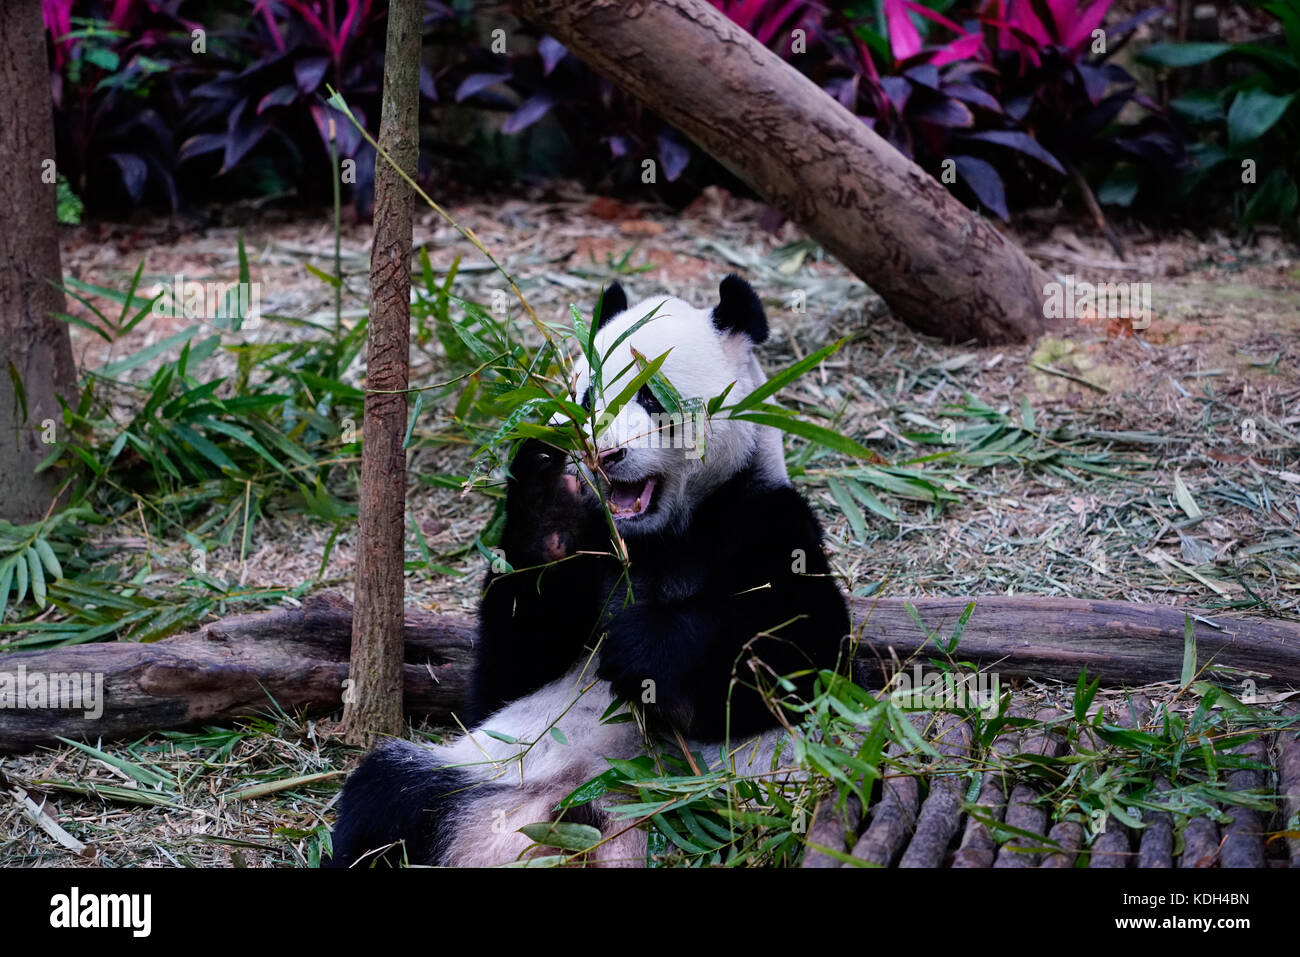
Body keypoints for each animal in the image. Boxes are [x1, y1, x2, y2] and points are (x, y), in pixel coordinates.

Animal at [330, 274, 847, 868]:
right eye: (584, 398)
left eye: (652, 396)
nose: (604, 453)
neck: (655, 540)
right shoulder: (587, 562)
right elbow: (504, 676)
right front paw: (550, 498)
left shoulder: (764, 518)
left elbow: (796, 648)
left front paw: (643, 650)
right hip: (477, 773)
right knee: (384, 801)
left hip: (733, 808)